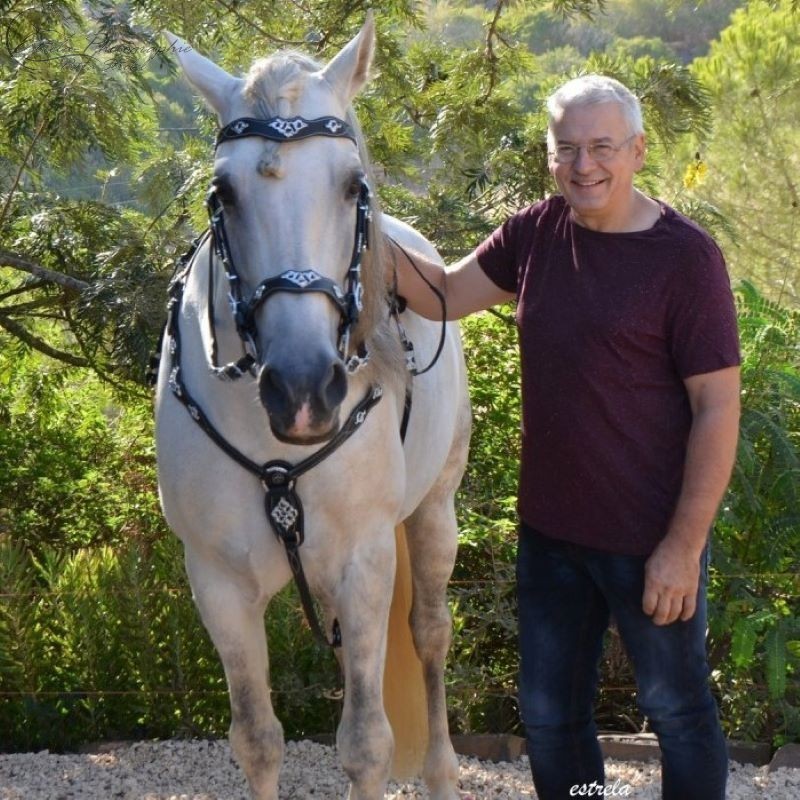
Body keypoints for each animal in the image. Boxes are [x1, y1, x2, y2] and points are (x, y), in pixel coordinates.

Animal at [154, 13, 471, 800]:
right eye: (224, 193)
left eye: (353, 185)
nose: (302, 391)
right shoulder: (218, 584)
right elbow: (258, 740)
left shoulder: (363, 564)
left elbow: (365, 744)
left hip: (434, 513)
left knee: (429, 634)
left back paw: (443, 771)